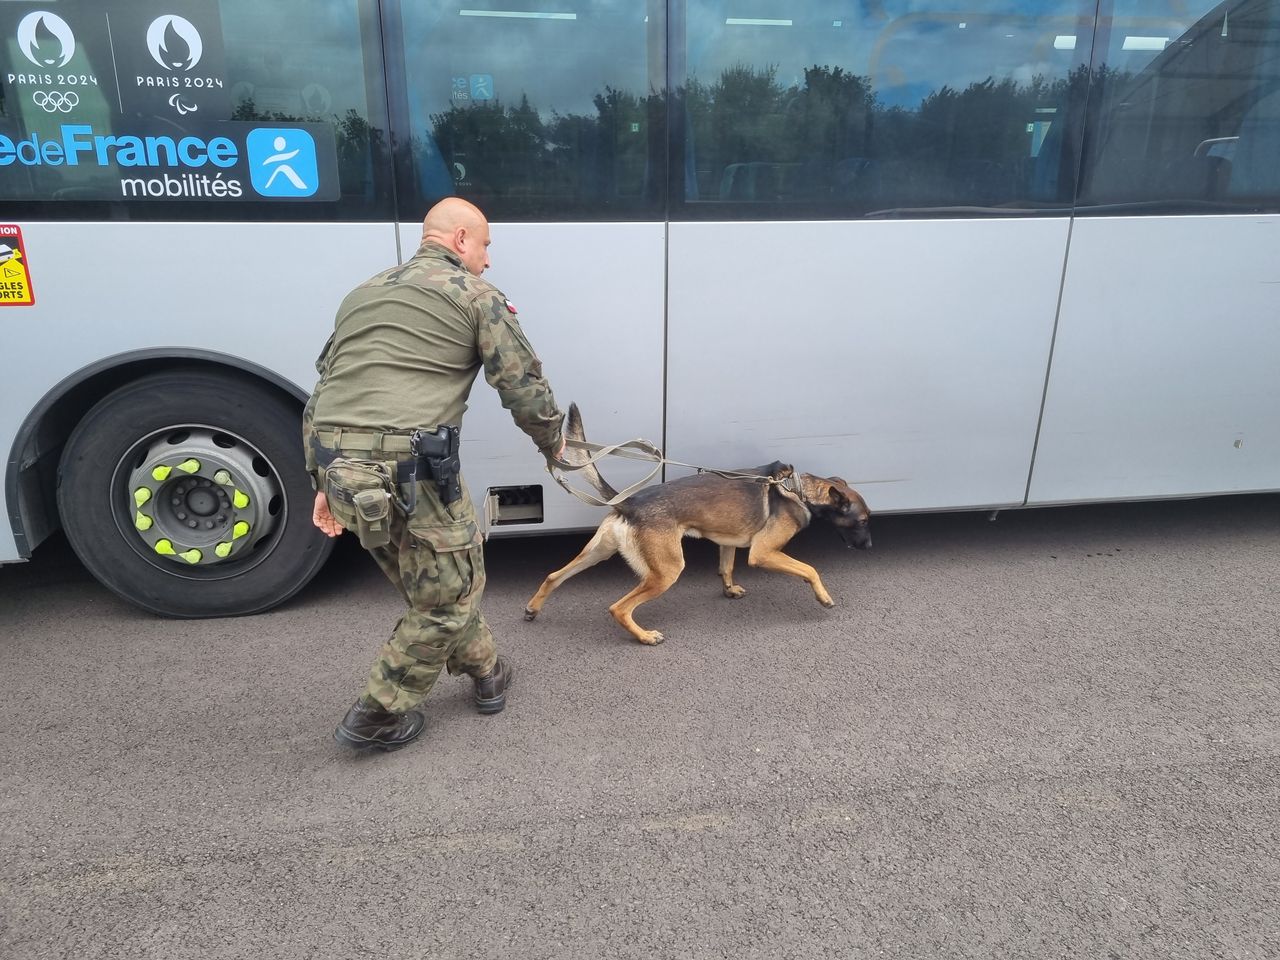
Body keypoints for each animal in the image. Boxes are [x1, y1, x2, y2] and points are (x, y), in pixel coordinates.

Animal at [519, 407, 870, 647]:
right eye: (863, 521)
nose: (868, 547)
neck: (799, 488)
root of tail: (628, 503)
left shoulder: (728, 542)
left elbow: (726, 567)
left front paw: (729, 589)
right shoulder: (763, 553)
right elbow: (810, 569)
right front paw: (823, 598)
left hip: (598, 553)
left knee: (554, 577)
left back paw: (533, 609)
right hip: (666, 572)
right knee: (618, 608)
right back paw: (645, 637)